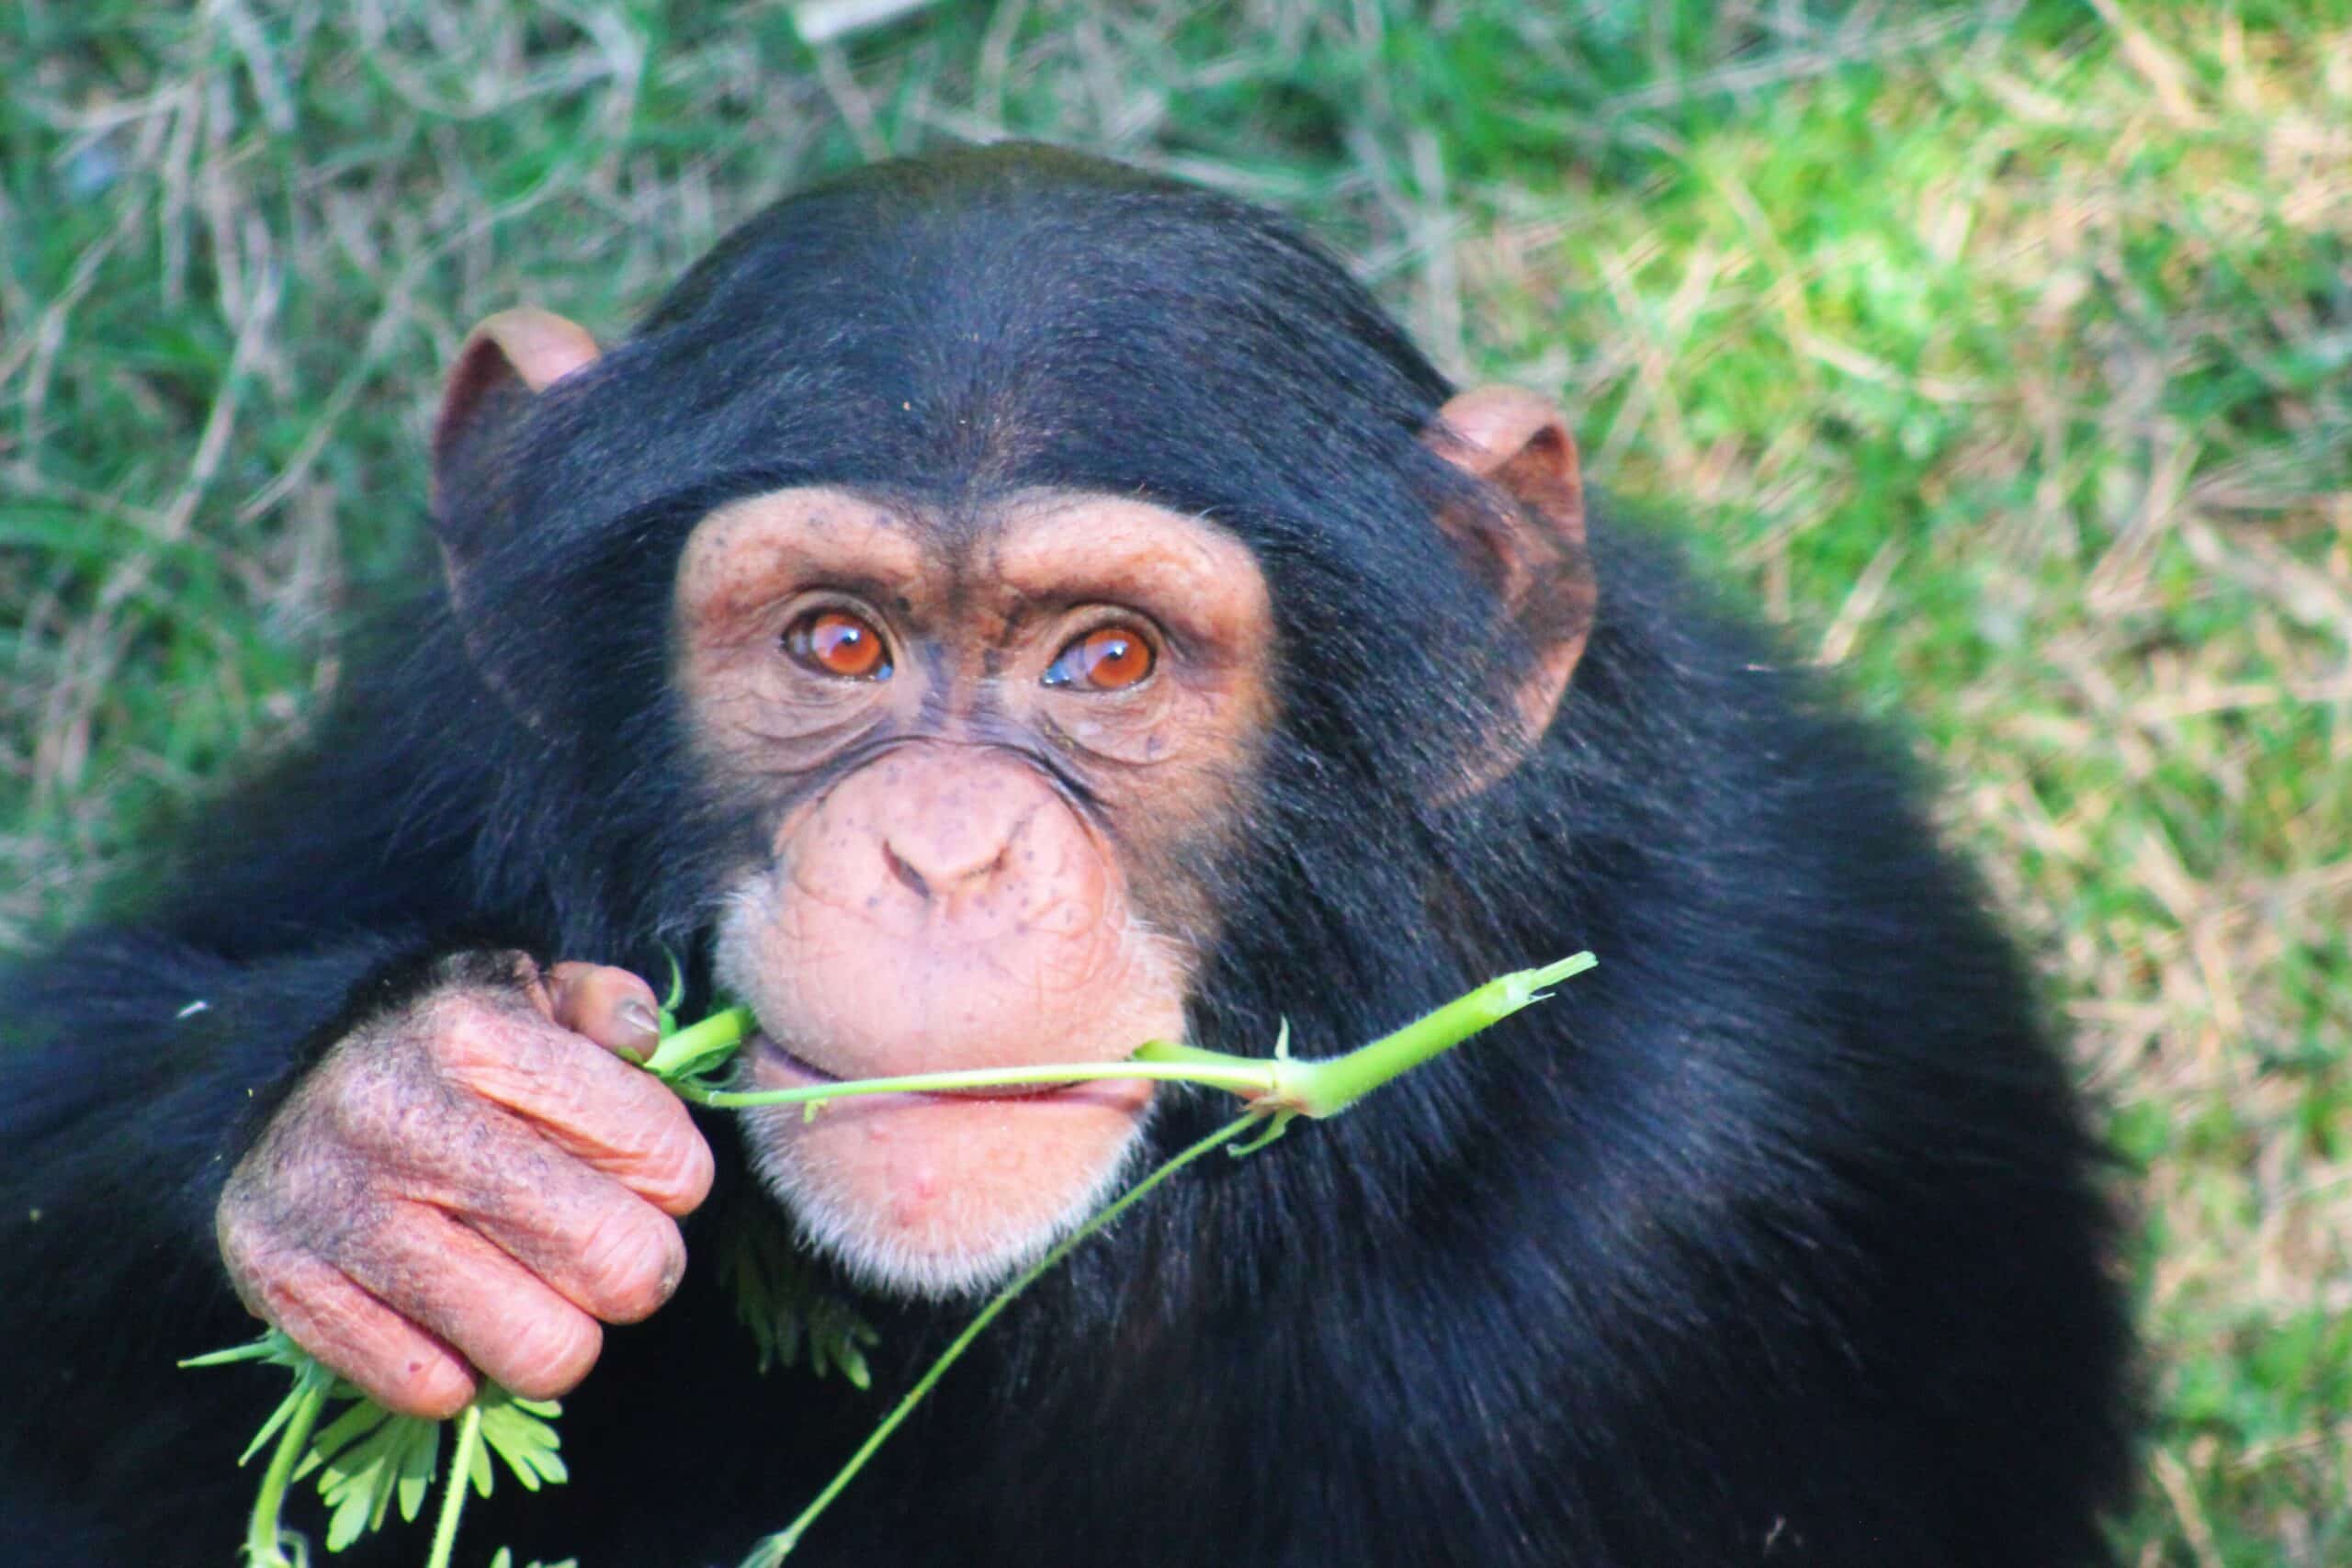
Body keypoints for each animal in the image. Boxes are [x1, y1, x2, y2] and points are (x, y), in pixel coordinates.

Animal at [0, 146, 2135, 1568]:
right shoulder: (427, 752)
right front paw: (403, 1142)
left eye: (1105, 658)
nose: (943, 855)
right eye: (836, 642)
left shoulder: (1705, 1187)